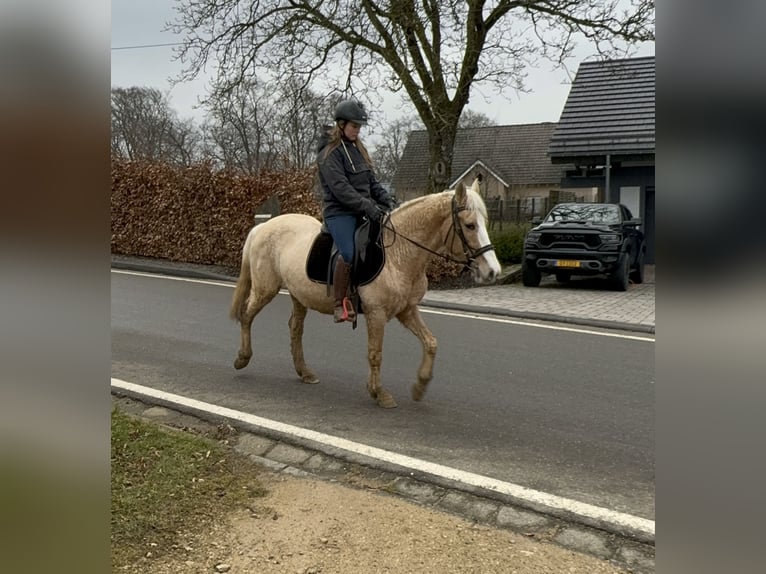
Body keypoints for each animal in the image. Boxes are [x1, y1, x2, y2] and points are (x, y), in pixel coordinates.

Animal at [228, 180, 504, 410]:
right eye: (470, 225)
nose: (493, 271)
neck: (398, 254)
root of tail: (264, 226)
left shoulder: (407, 310)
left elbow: (431, 342)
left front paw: (420, 386)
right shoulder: (376, 314)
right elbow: (375, 354)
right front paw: (379, 393)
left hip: (298, 295)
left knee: (295, 328)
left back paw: (304, 372)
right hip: (266, 289)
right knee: (247, 316)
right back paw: (242, 358)